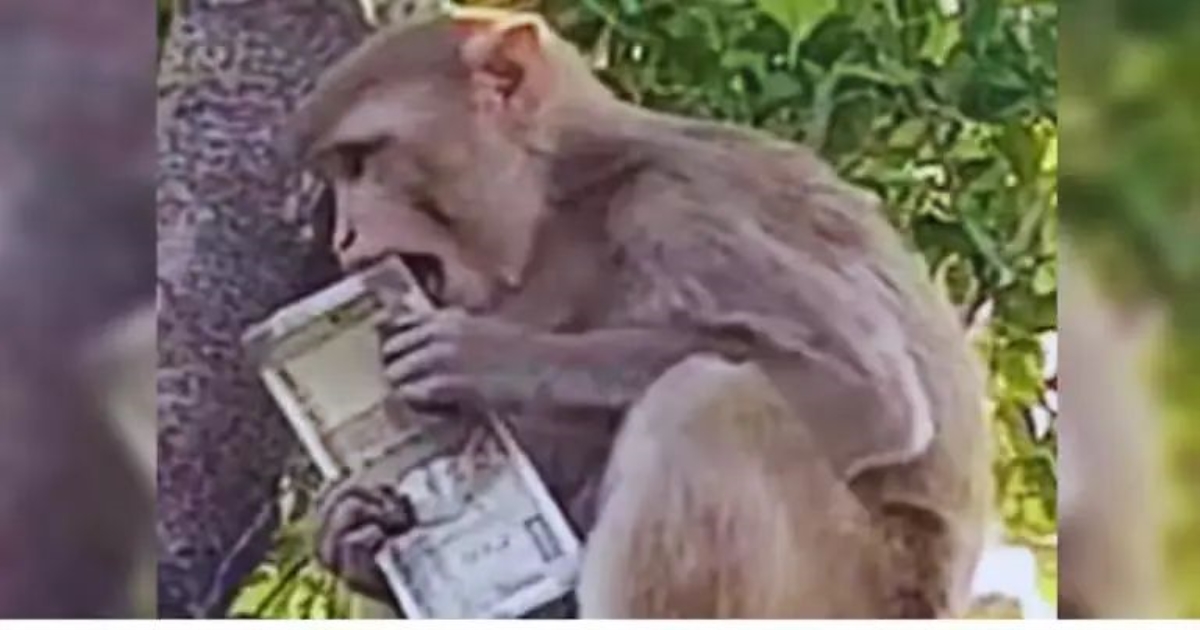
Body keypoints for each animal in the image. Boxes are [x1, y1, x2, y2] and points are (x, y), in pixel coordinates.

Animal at [282, 9, 990, 618]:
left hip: (844, 593)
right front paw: (351, 530)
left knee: (707, 400)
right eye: (340, 175)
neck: (564, 202)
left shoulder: (678, 206)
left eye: (362, 160)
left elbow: (871, 397)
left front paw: (490, 357)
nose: (343, 237)